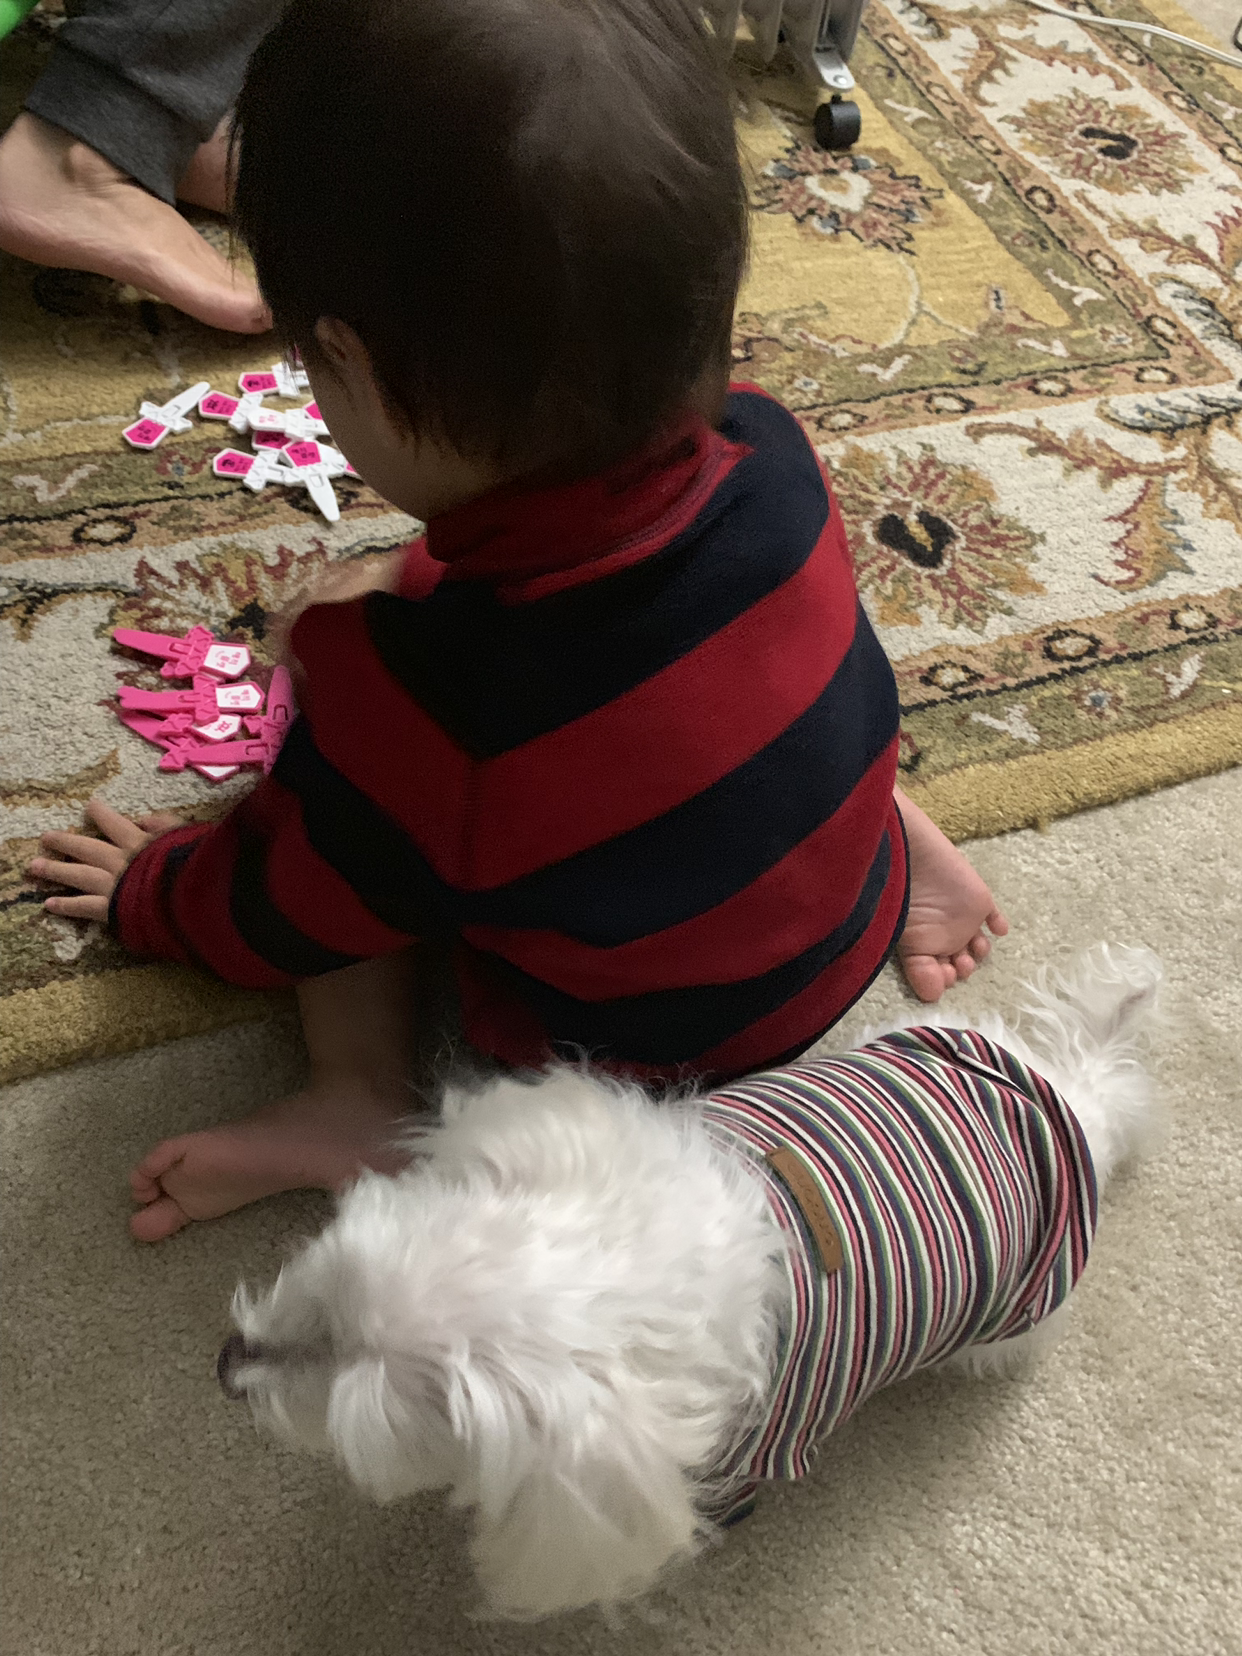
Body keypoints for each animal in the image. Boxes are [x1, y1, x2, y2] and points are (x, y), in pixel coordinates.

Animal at [218, 944, 1161, 1618]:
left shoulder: (732, 1465)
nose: (227, 1364)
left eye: (346, 1407)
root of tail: (1071, 1100)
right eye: (322, 1294)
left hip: (1012, 1322)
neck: (636, 1274)